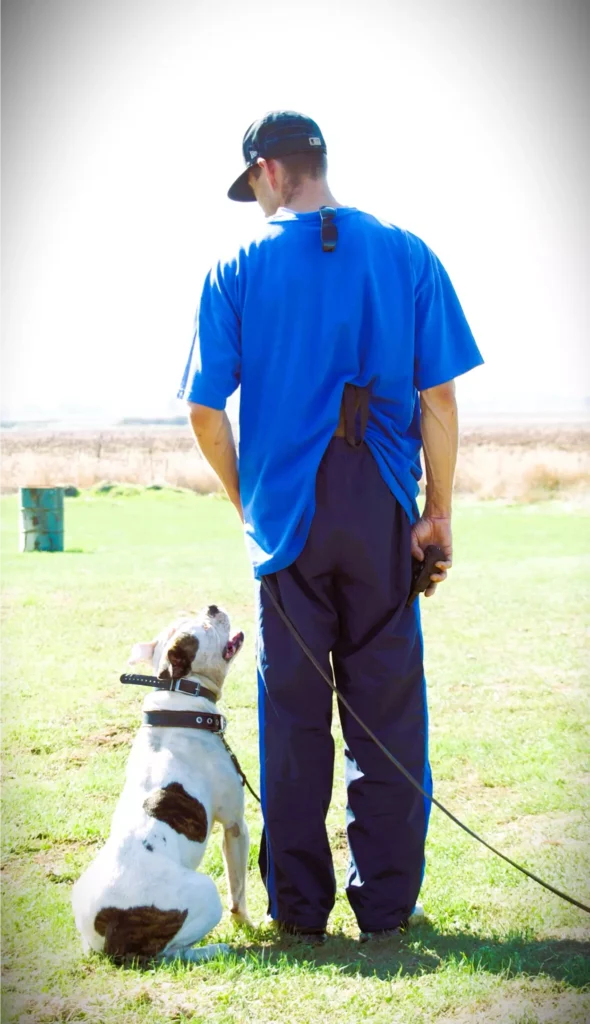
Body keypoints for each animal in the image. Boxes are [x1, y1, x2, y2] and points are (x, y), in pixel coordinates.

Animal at [72, 602, 249, 962]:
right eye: (204, 628)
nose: (212, 606)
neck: (177, 691)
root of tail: (106, 939)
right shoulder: (235, 825)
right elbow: (238, 890)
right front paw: (252, 926)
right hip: (204, 893)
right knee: (168, 954)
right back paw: (216, 948)